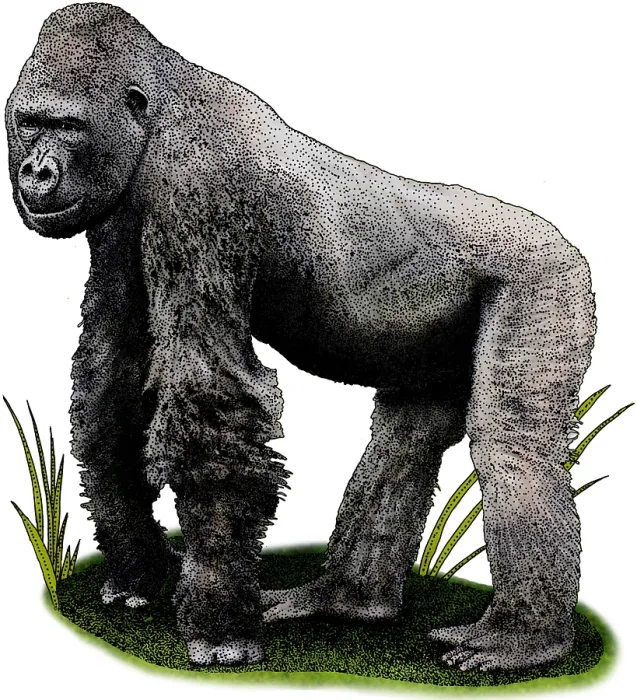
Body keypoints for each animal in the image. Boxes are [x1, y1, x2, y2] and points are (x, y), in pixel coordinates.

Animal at [6, 3, 595, 670]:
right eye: (27, 123)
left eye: (67, 126)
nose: (35, 170)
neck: (157, 113)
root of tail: (565, 244)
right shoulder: (116, 223)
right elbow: (110, 384)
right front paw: (143, 572)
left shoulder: (198, 187)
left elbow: (210, 402)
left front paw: (217, 621)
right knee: (404, 443)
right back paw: (348, 600)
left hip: (546, 277)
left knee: (511, 445)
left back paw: (524, 638)